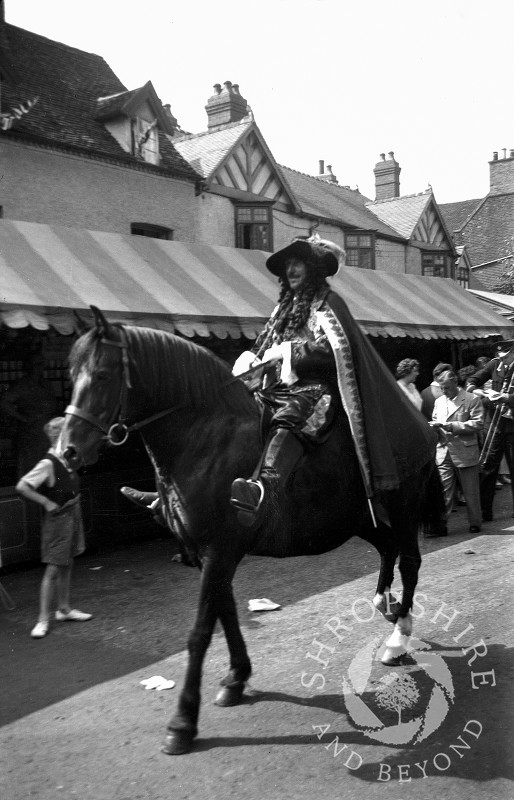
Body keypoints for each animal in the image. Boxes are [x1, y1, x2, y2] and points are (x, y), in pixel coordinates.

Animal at [59, 306, 440, 756]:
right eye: (72, 373)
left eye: (102, 375)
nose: (67, 450)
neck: (204, 439)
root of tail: (424, 425)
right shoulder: (211, 554)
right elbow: (226, 615)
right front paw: (236, 678)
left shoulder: (220, 550)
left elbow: (200, 632)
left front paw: (182, 722)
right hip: (365, 518)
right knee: (387, 550)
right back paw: (386, 604)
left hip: (403, 508)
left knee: (410, 561)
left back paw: (398, 639)